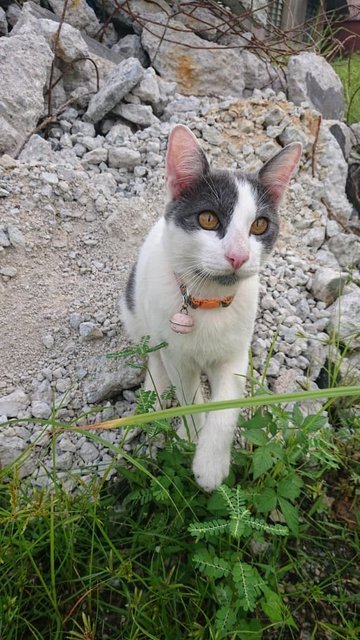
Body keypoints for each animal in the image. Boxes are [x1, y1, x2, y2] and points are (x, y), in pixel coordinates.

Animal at [121, 124, 300, 490]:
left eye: (260, 225)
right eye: (207, 218)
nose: (238, 256)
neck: (209, 301)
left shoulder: (237, 353)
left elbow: (227, 404)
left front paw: (211, 463)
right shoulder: (178, 355)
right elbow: (189, 397)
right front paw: (191, 436)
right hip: (136, 310)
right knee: (154, 354)